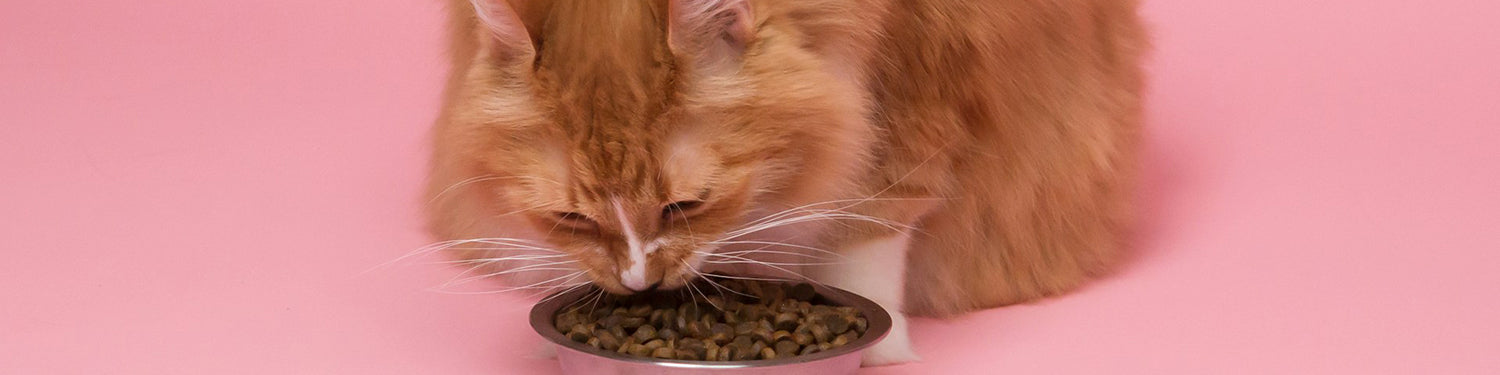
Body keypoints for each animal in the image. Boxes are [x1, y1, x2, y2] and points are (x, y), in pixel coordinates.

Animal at [426, 0, 1146, 364]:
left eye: (686, 205)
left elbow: (869, 234)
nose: (639, 283)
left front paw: (886, 351)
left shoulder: (912, 97)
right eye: (573, 219)